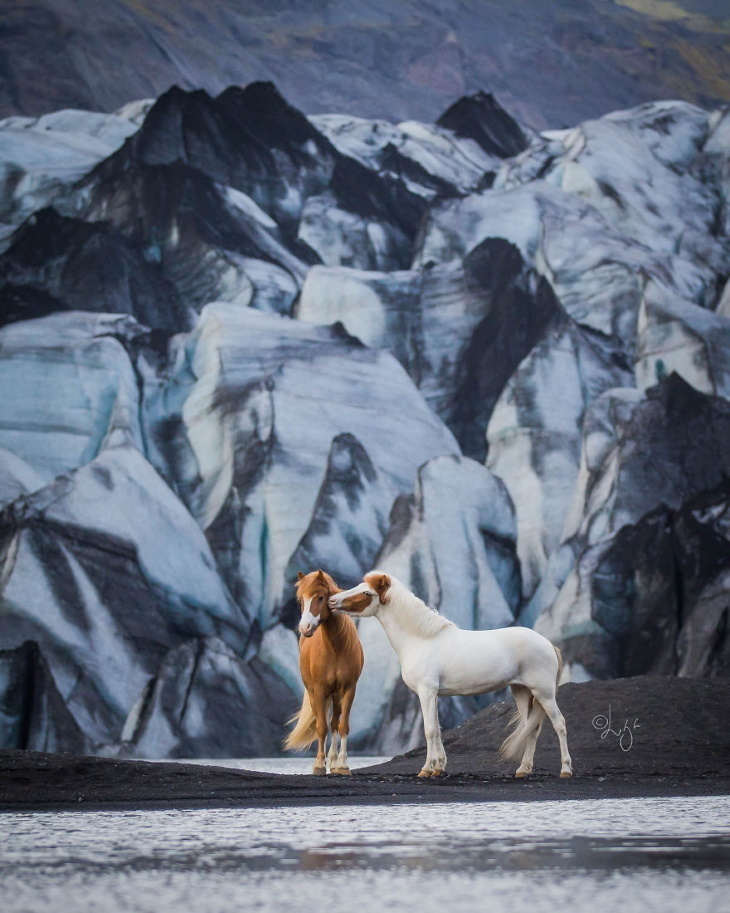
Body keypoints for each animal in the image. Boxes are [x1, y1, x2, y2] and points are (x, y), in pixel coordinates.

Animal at [284, 568, 364, 768]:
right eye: (301, 600)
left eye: (320, 597)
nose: (304, 627)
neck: (335, 648)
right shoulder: (320, 690)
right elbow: (321, 726)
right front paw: (319, 764)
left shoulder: (348, 689)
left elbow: (342, 726)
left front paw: (342, 765)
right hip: (313, 693)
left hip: (336, 695)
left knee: (335, 723)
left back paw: (334, 761)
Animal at [328, 568, 572, 776]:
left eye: (366, 592)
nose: (332, 601)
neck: (420, 640)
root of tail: (548, 644)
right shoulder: (434, 694)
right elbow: (437, 729)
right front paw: (439, 767)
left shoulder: (426, 692)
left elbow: (428, 730)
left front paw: (426, 769)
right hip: (521, 692)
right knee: (532, 728)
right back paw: (523, 769)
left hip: (544, 693)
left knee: (559, 724)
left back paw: (565, 770)